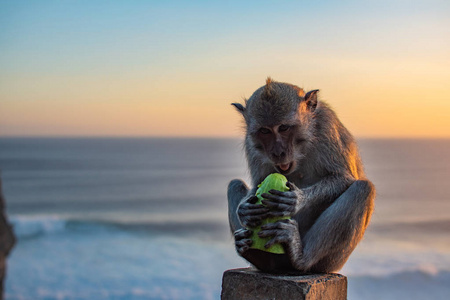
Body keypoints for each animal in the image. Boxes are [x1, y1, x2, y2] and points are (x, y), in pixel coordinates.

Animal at [227, 78, 374, 274]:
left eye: (283, 128)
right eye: (265, 131)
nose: (278, 152)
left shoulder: (327, 127)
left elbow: (344, 178)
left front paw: (298, 199)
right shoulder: (251, 143)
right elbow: (258, 183)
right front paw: (244, 210)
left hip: (332, 263)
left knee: (362, 189)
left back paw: (300, 257)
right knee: (234, 184)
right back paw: (261, 259)